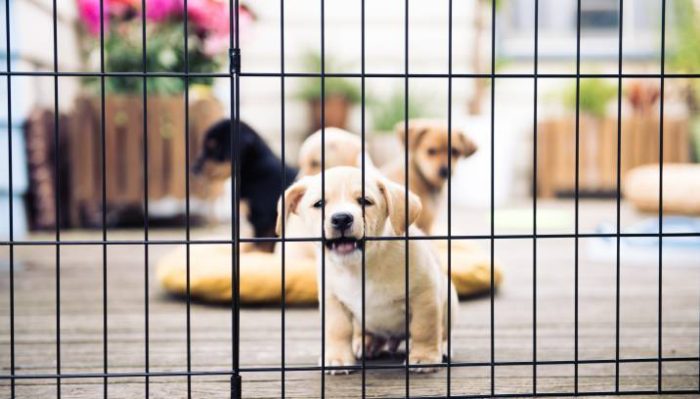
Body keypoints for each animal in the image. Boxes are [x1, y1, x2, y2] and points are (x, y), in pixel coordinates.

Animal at [274, 167, 460, 374]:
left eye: (365, 201)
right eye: (319, 204)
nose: (341, 219)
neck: (358, 267)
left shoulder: (424, 296)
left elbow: (424, 329)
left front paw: (424, 358)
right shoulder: (333, 300)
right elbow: (337, 330)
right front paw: (338, 358)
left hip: (449, 300)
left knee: (442, 331)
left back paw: (442, 347)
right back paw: (366, 343)